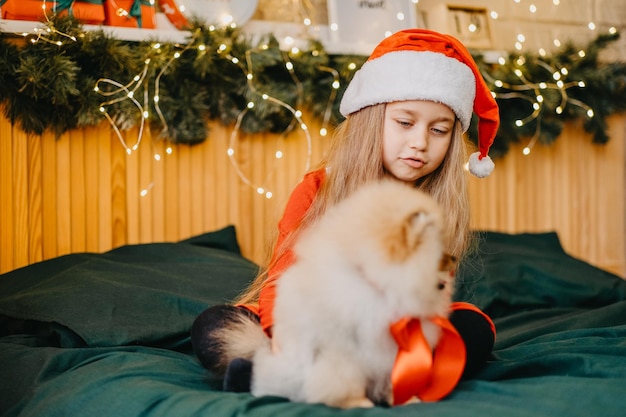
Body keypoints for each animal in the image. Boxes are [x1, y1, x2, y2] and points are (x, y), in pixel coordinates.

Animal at [249, 179, 454, 406]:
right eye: (439, 250)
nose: (454, 259)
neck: (377, 289)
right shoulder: (344, 355)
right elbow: (345, 382)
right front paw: (356, 402)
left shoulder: (390, 350)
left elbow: (394, 376)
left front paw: (405, 399)